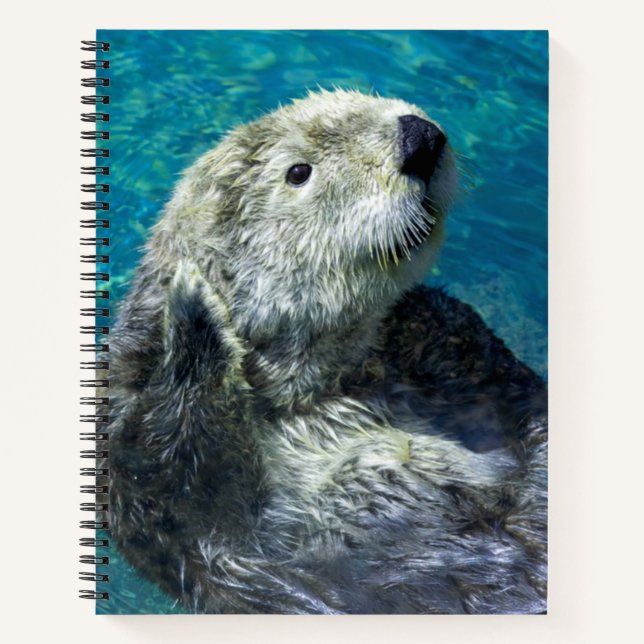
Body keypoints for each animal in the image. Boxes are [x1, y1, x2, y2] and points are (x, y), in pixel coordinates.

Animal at [104, 89, 547, 614]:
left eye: (369, 97)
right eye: (299, 171)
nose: (419, 136)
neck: (327, 389)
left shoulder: (469, 359)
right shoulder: (153, 492)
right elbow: (185, 479)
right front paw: (194, 306)